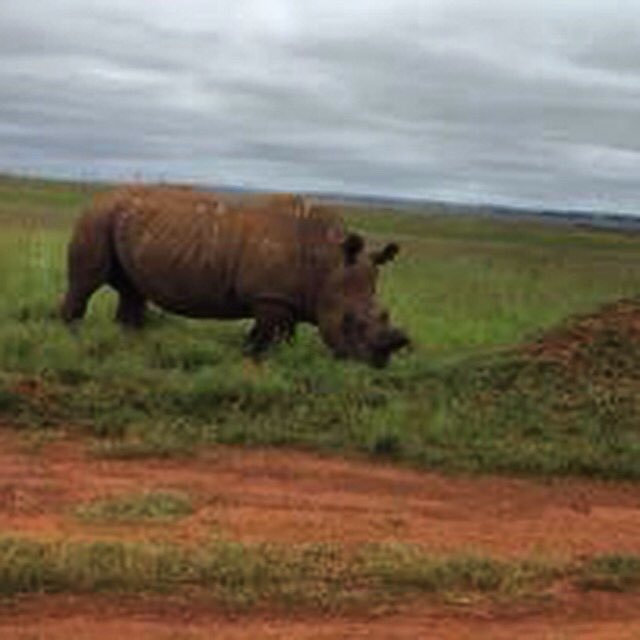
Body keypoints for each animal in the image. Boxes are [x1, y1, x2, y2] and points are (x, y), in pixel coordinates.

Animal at [61, 185, 409, 367]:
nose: (375, 366)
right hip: (97, 217)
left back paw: (130, 347)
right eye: (351, 322)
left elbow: (270, 336)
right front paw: (260, 365)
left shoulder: (284, 299)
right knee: (86, 283)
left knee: (132, 291)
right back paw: (71, 340)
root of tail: (96, 197)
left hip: (121, 221)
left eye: (385, 315)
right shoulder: (271, 297)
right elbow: (268, 339)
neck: (327, 262)